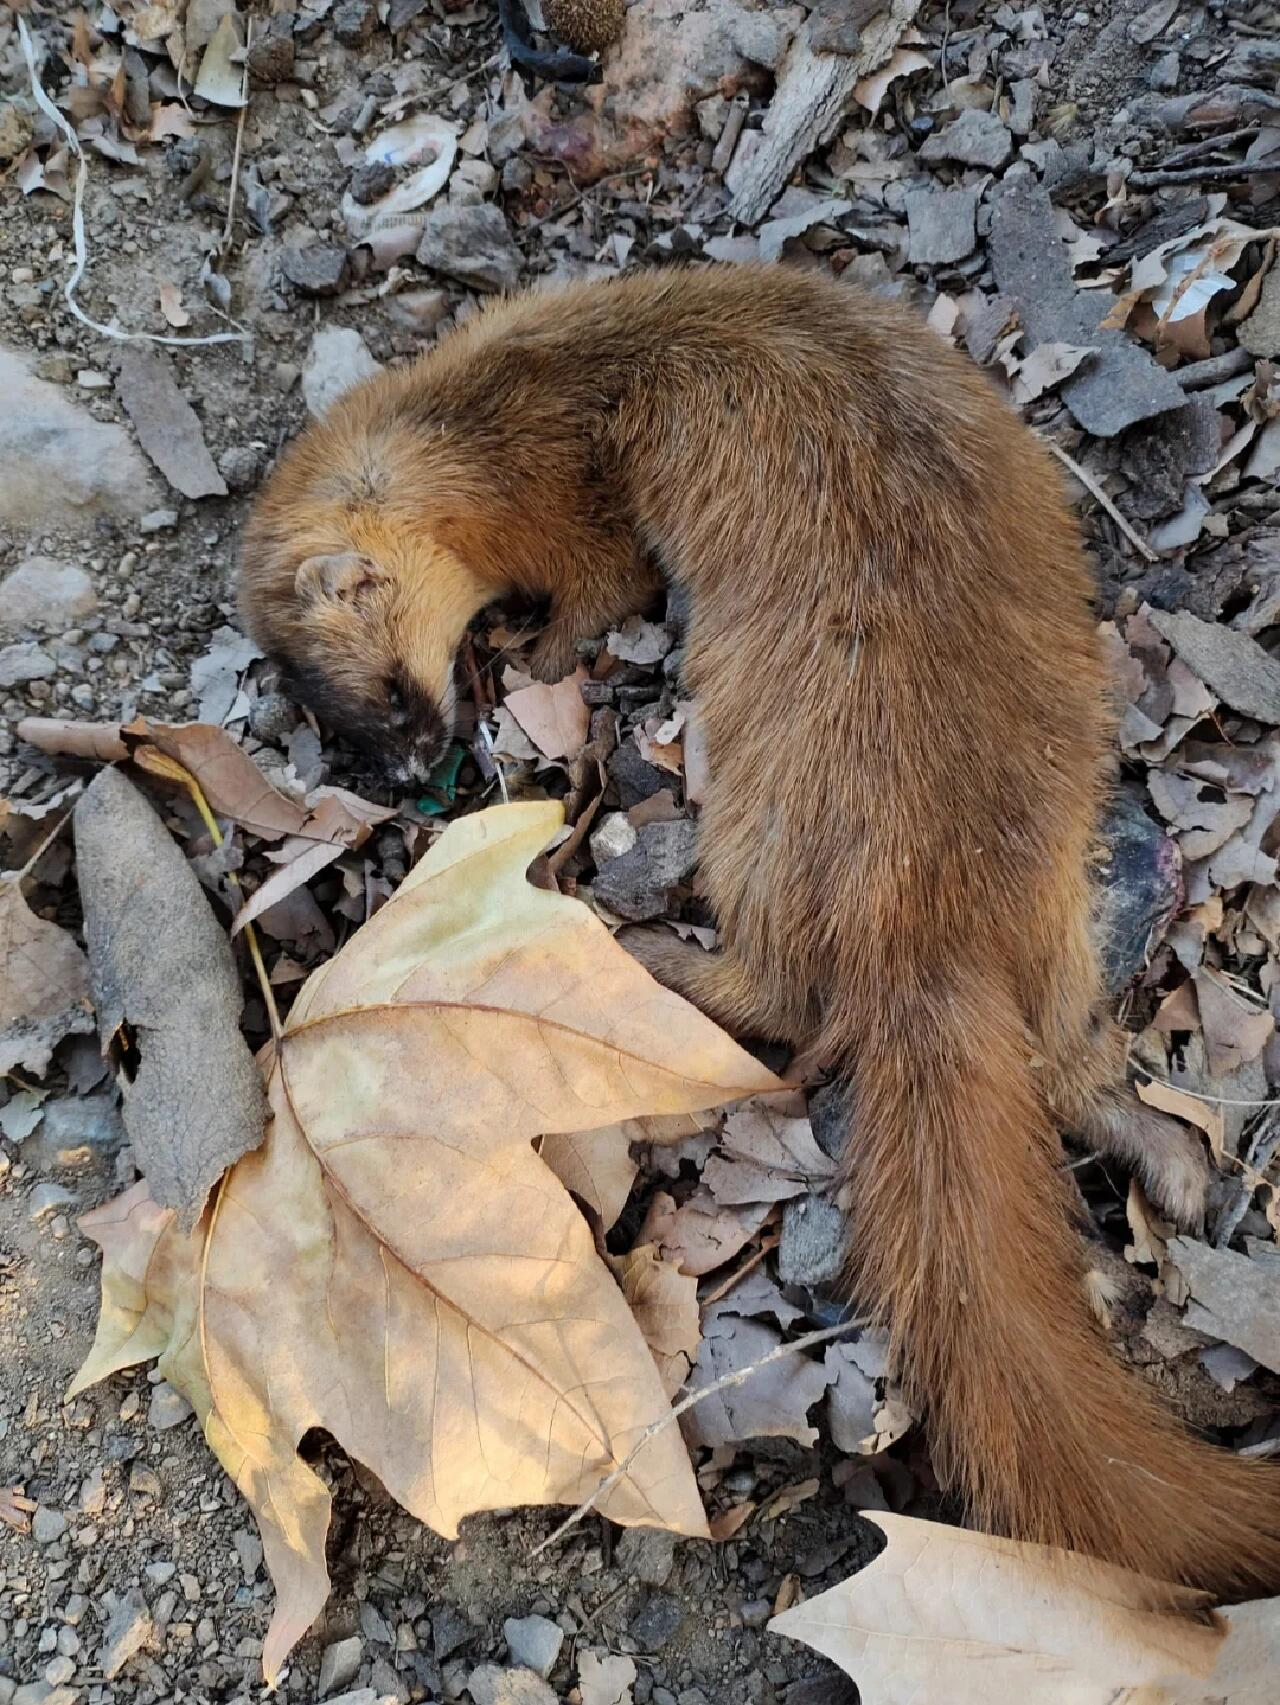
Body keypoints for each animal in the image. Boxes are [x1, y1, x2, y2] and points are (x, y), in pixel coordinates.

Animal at [242, 265, 1280, 1595]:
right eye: (349, 720)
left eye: (378, 695)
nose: (421, 767)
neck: (492, 399)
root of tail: (927, 914)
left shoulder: (567, 502)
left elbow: (598, 582)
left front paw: (534, 643)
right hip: (1056, 893)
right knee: (1058, 1049)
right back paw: (1168, 1155)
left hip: (763, 809)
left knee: (785, 994)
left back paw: (637, 936)